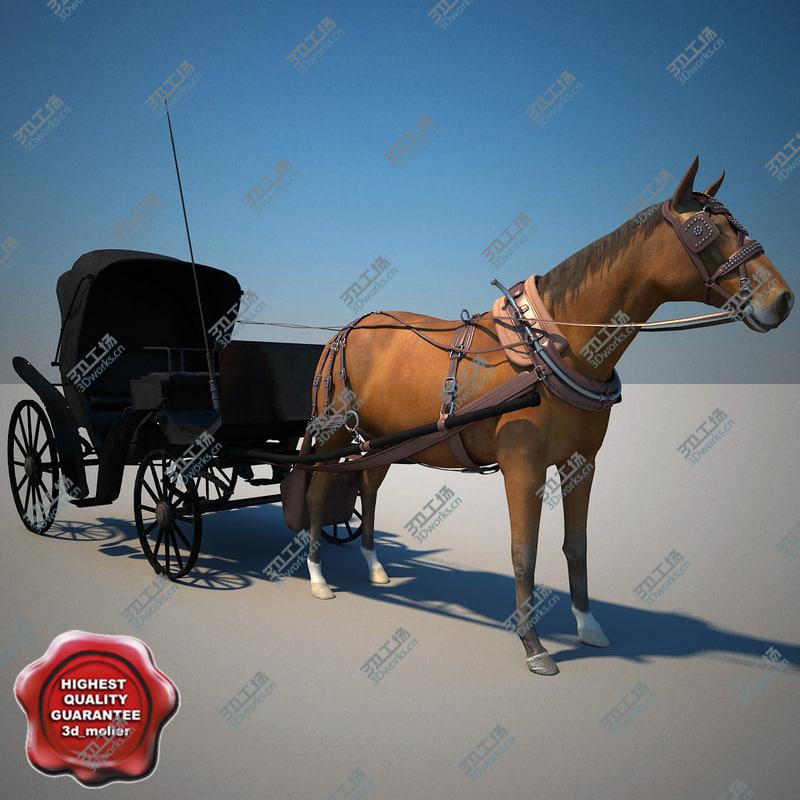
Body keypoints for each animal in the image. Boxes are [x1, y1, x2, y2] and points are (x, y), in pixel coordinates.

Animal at [303, 157, 794, 675]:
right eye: (706, 232)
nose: (782, 299)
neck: (555, 349)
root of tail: (342, 332)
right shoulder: (524, 466)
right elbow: (525, 551)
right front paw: (533, 645)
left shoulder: (582, 462)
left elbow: (576, 545)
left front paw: (588, 625)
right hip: (334, 434)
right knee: (317, 490)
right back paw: (318, 578)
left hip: (380, 440)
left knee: (369, 488)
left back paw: (376, 568)